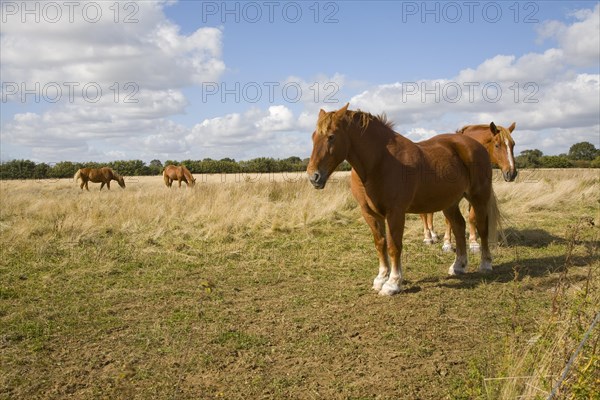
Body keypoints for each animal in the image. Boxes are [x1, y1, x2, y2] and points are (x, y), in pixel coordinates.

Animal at [308, 104, 500, 296]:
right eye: (313, 136)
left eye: (331, 136)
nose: (313, 176)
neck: (379, 162)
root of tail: (476, 146)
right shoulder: (370, 213)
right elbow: (380, 244)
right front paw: (381, 278)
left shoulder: (395, 213)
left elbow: (394, 246)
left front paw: (393, 283)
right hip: (450, 203)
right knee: (459, 227)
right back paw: (458, 266)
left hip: (478, 197)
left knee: (482, 228)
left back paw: (485, 264)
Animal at [422, 121, 516, 250]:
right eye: (497, 145)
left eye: (513, 145)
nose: (511, 173)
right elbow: (448, 220)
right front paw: (447, 244)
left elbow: (472, 216)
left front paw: (473, 242)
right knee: (423, 215)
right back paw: (428, 237)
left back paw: (433, 235)